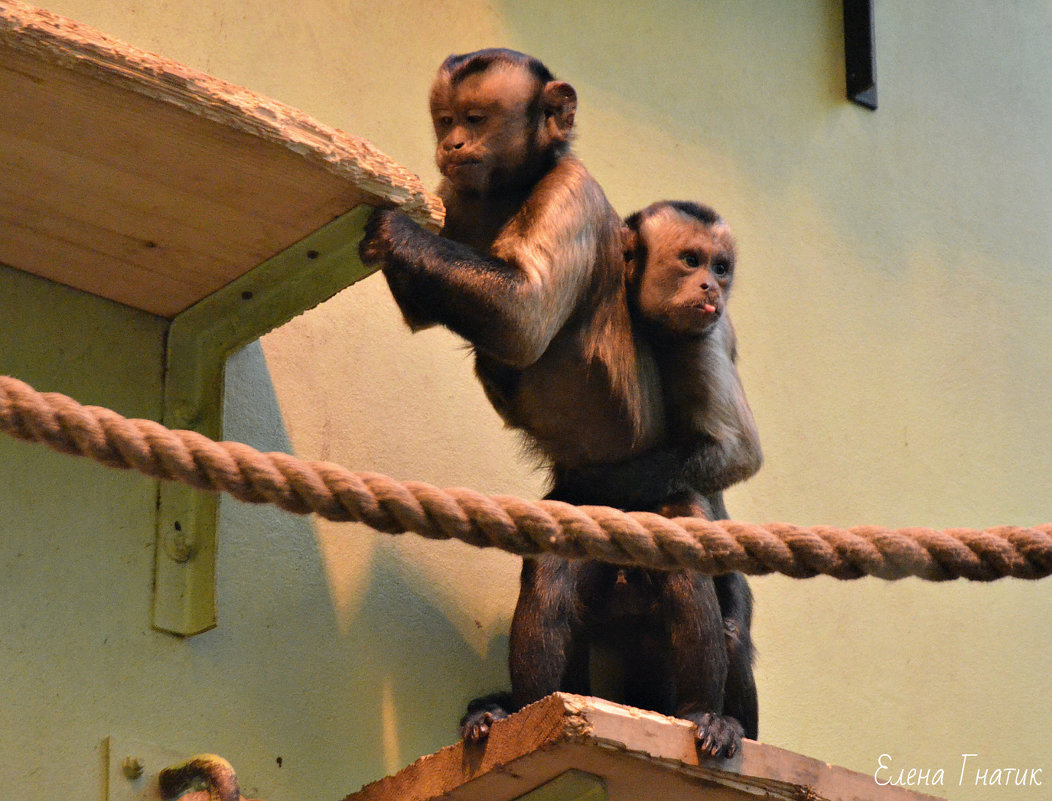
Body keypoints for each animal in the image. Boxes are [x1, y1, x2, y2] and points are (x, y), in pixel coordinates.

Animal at [357, 48, 761, 757]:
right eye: (445, 121)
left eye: (475, 120)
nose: (452, 144)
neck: (512, 191)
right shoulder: (458, 195)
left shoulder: (569, 193)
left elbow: (521, 318)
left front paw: (392, 227)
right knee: (556, 566)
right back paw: (530, 710)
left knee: (681, 518)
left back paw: (702, 713)